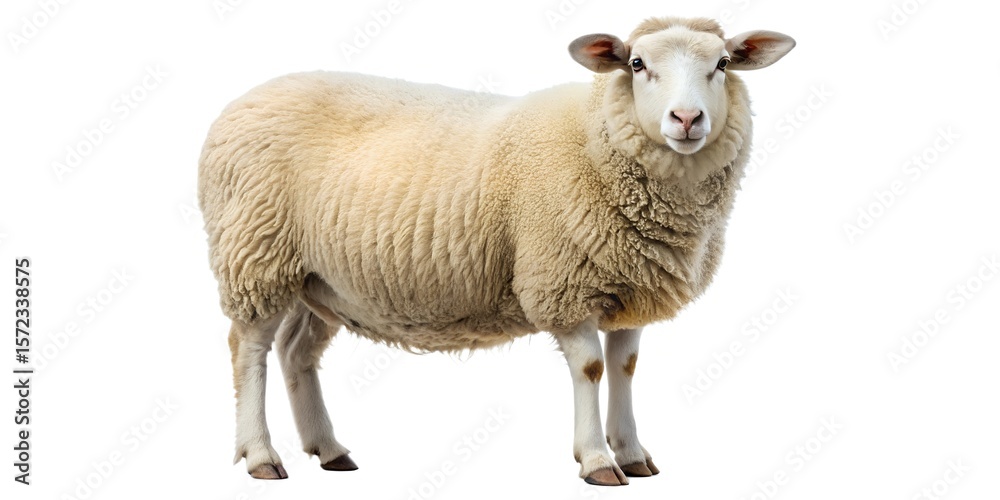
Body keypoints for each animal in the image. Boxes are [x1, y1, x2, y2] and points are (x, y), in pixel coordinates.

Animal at [198, 16, 794, 486]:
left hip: (319, 278)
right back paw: (261, 456)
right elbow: (591, 368)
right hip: (255, 253)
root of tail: (240, 102)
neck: (595, 138)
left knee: (297, 352)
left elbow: (624, 367)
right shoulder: (561, 282)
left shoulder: (628, 286)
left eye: (722, 63)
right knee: (249, 349)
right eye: (637, 63)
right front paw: (597, 460)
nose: (687, 120)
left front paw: (632, 453)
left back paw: (329, 450)